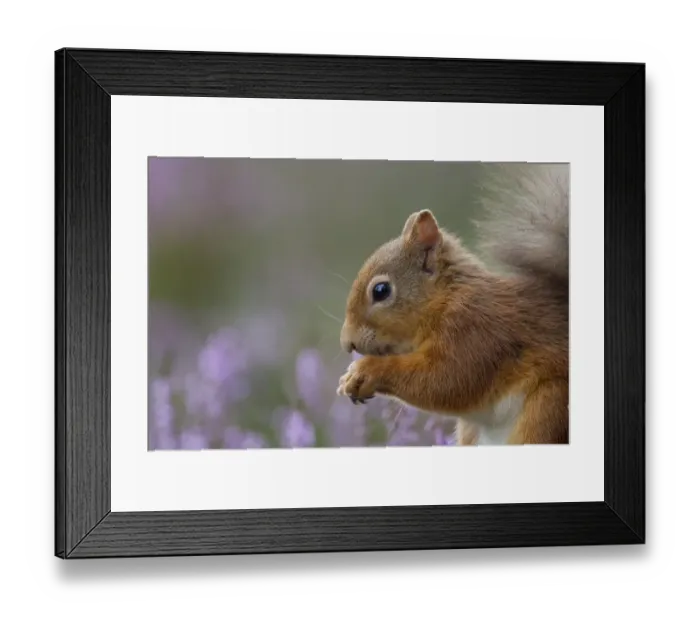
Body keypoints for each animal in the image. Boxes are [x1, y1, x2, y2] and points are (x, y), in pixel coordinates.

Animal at [337, 164, 569, 445]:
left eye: (381, 291)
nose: (347, 343)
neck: (444, 301)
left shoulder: (476, 330)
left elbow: (447, 380)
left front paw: (365, 371)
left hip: (548, 407)